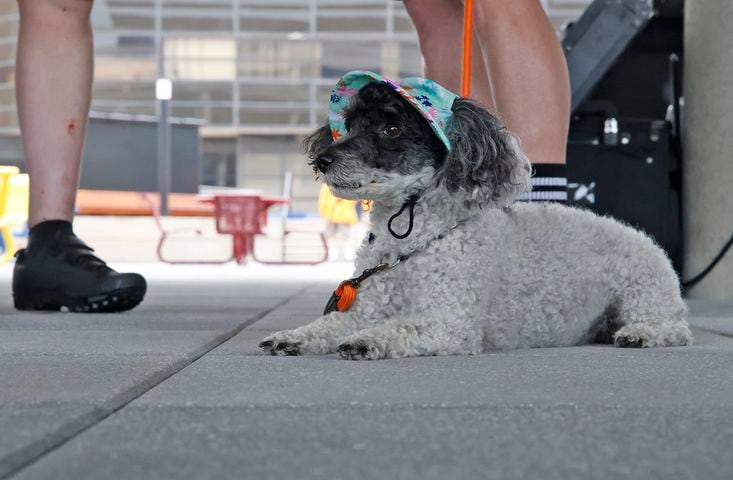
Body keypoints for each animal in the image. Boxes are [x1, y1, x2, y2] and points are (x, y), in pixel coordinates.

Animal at [258, 79, 692, 360]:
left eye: (392, 128)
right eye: (349, 125)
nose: (323, 159)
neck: (412, 244)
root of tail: (644, 238)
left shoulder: (449, 321)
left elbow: (401, 328)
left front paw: (367, 342)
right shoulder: (366, 310)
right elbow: (329, 326)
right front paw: (292, 336)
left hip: (643, 292)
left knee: (676, 329)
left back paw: (639, 334)